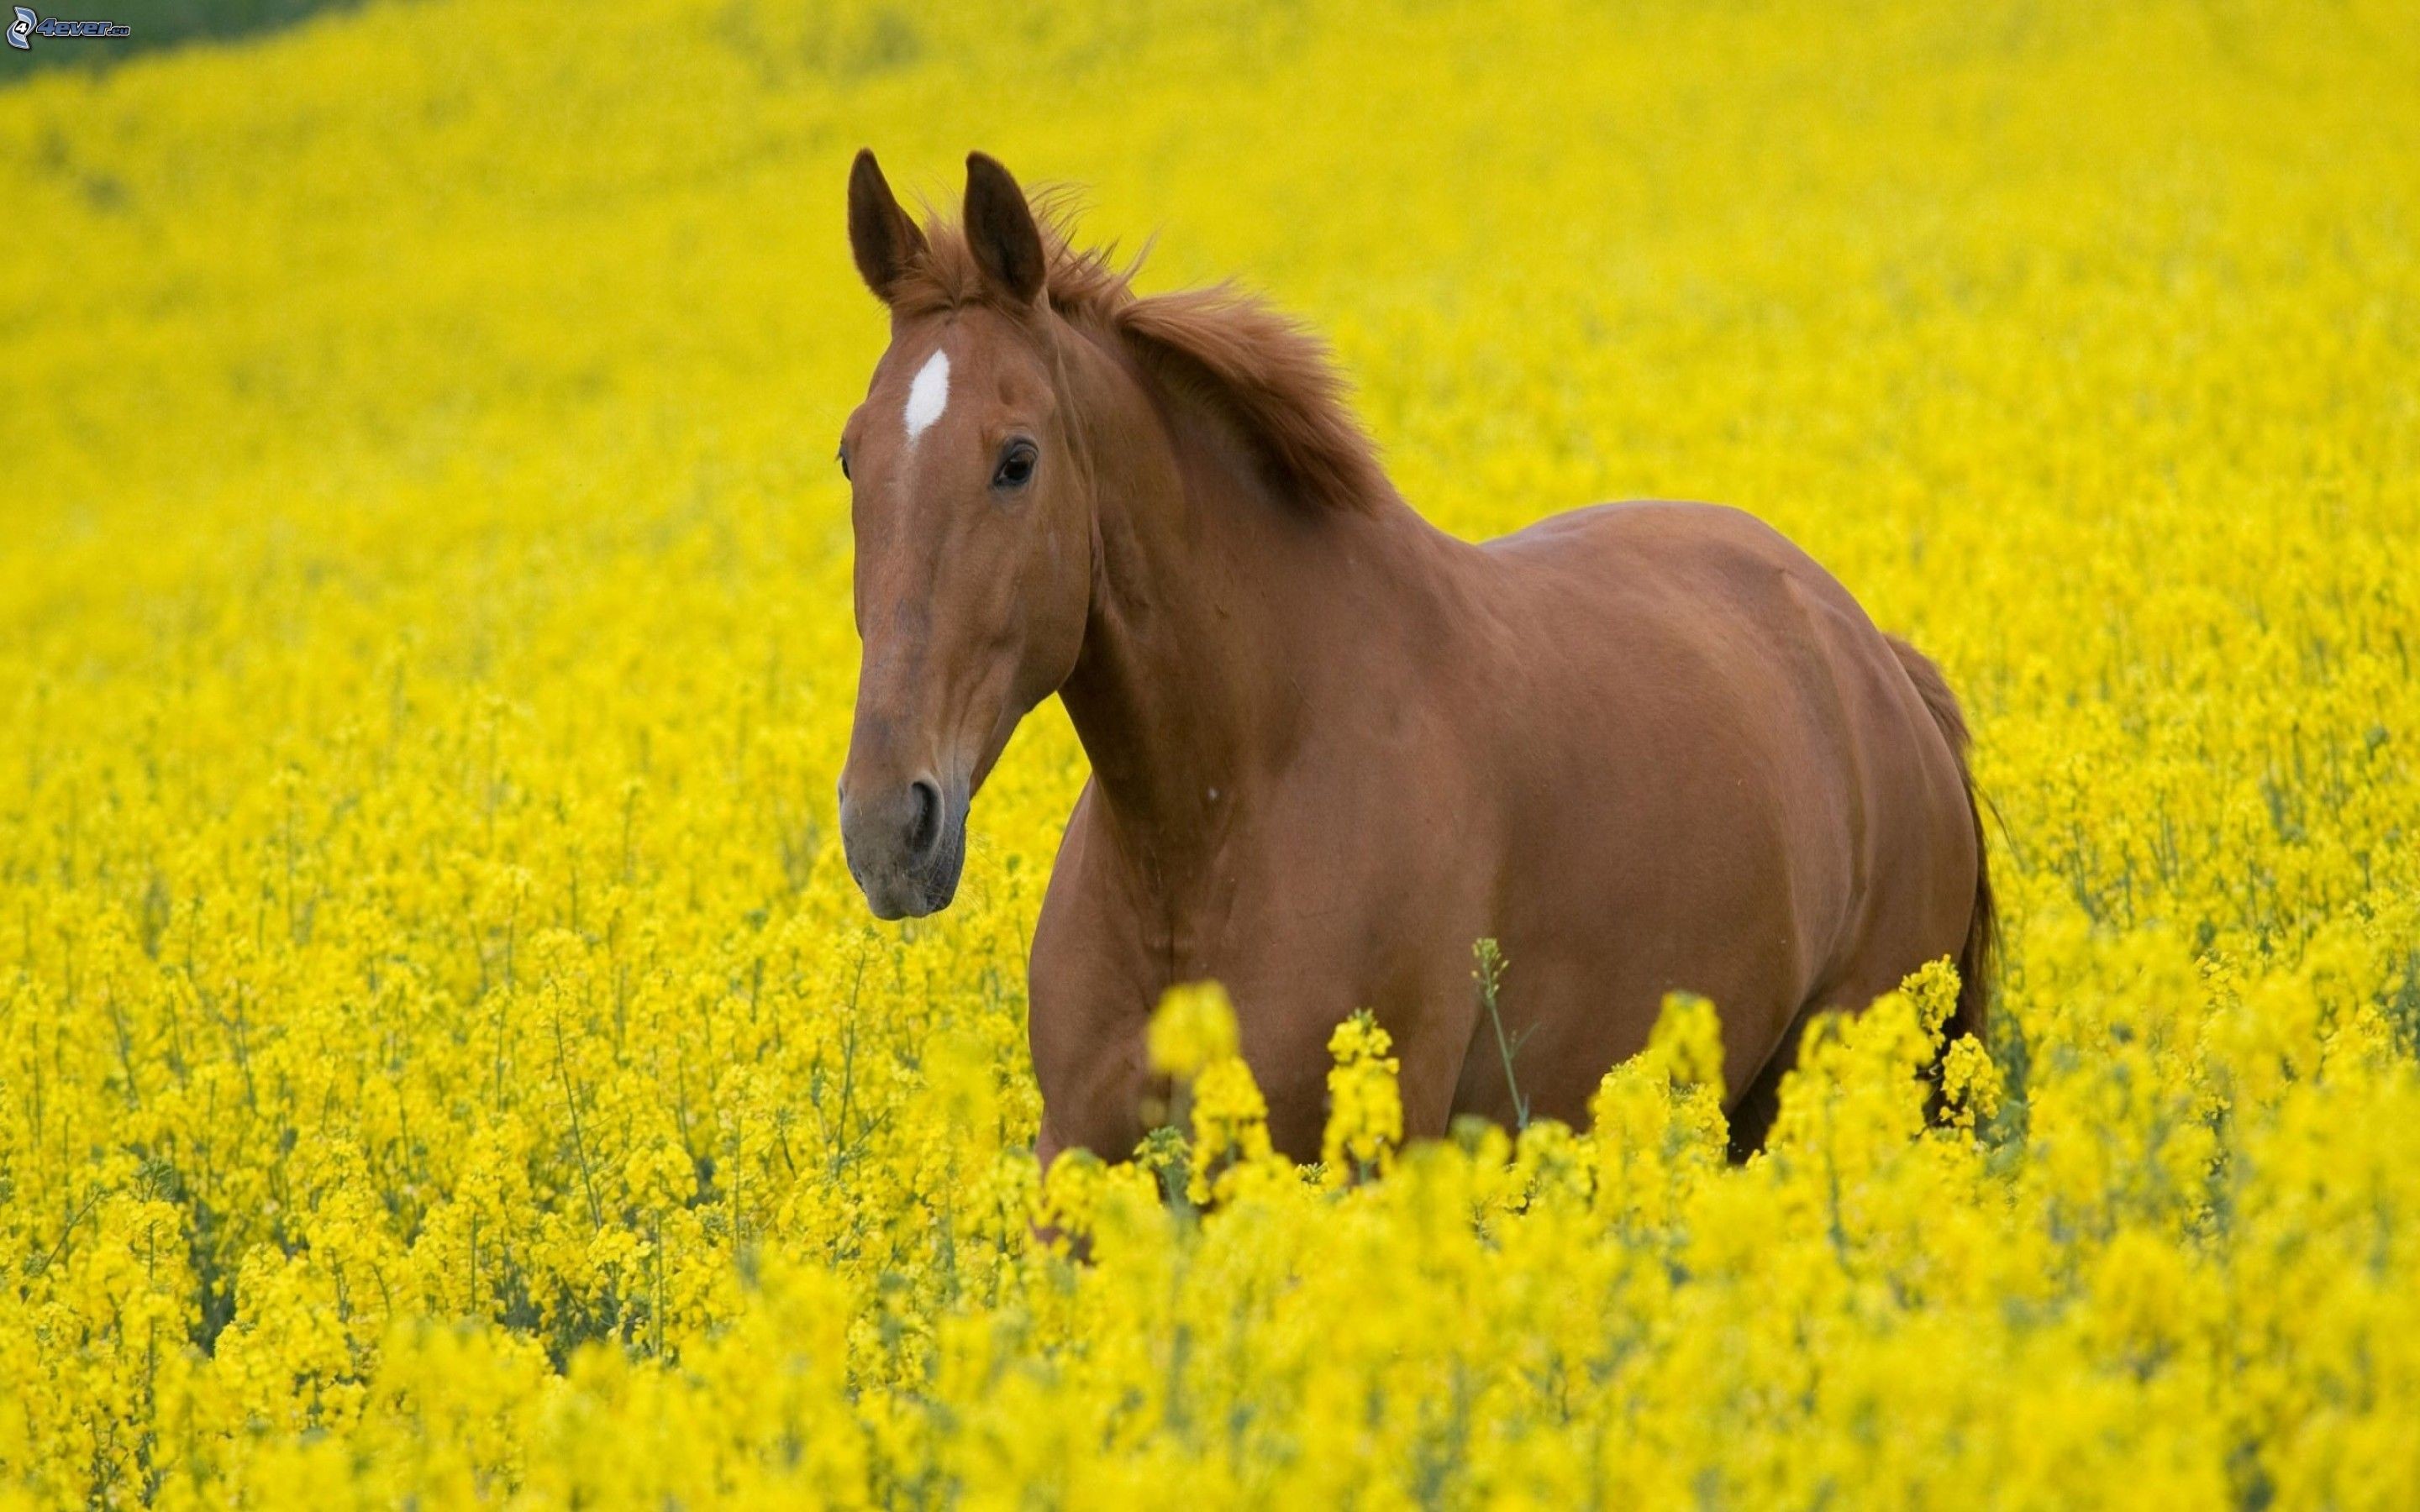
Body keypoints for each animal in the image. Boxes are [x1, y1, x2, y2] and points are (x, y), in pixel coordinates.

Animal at [833, 150, 1994, 1166]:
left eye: (1016, 460)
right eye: (851, 455)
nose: (889, 827)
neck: (1213, 828)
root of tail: (1873, 659)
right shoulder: (1077, 1169)